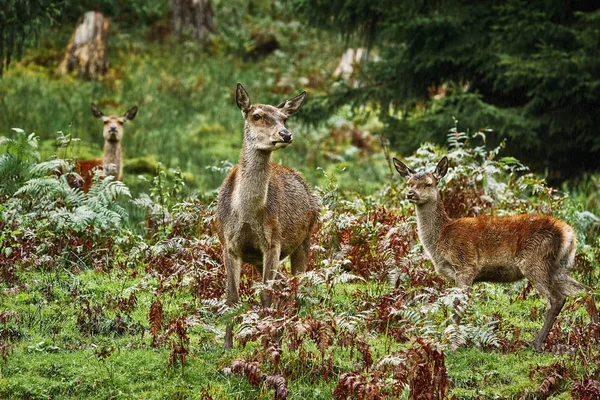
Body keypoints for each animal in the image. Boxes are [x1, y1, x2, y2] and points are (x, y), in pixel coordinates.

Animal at [214, 83, 318, 348]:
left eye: (284, 118)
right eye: (257, 115)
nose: (285, 134)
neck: (246, 214)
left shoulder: (273, 243)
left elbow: (265, 295)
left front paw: (264, 343)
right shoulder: (228, 244)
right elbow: (232, 297)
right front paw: (227, 346)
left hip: (304, 240)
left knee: (295, 288)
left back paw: (287, 340)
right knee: (282, 285)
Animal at [394, 155, 596, 350]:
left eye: (428, 183)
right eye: (409, 183)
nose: (410, 194)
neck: (440, 240)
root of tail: (569, 234)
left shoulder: (466, 265)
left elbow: (458, 307)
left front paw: (452, 342)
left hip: (535, 260)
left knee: (557, 299)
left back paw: (537, 344)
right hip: (559, 267)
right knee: (587, 290)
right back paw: (593, 333)